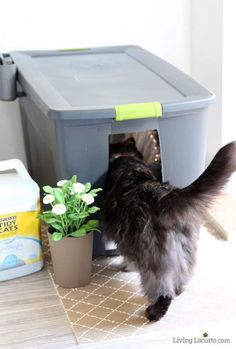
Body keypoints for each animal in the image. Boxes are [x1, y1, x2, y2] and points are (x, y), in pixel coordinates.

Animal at [103, 138, 236, 320]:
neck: (124, 156)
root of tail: (162, 197)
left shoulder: (125, 238)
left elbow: (127, 257)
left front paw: (126, 267)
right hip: (185, 249)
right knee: (182, 275)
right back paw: (178, 290)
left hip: (152, 258)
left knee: (162, 289)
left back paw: (154, 313)